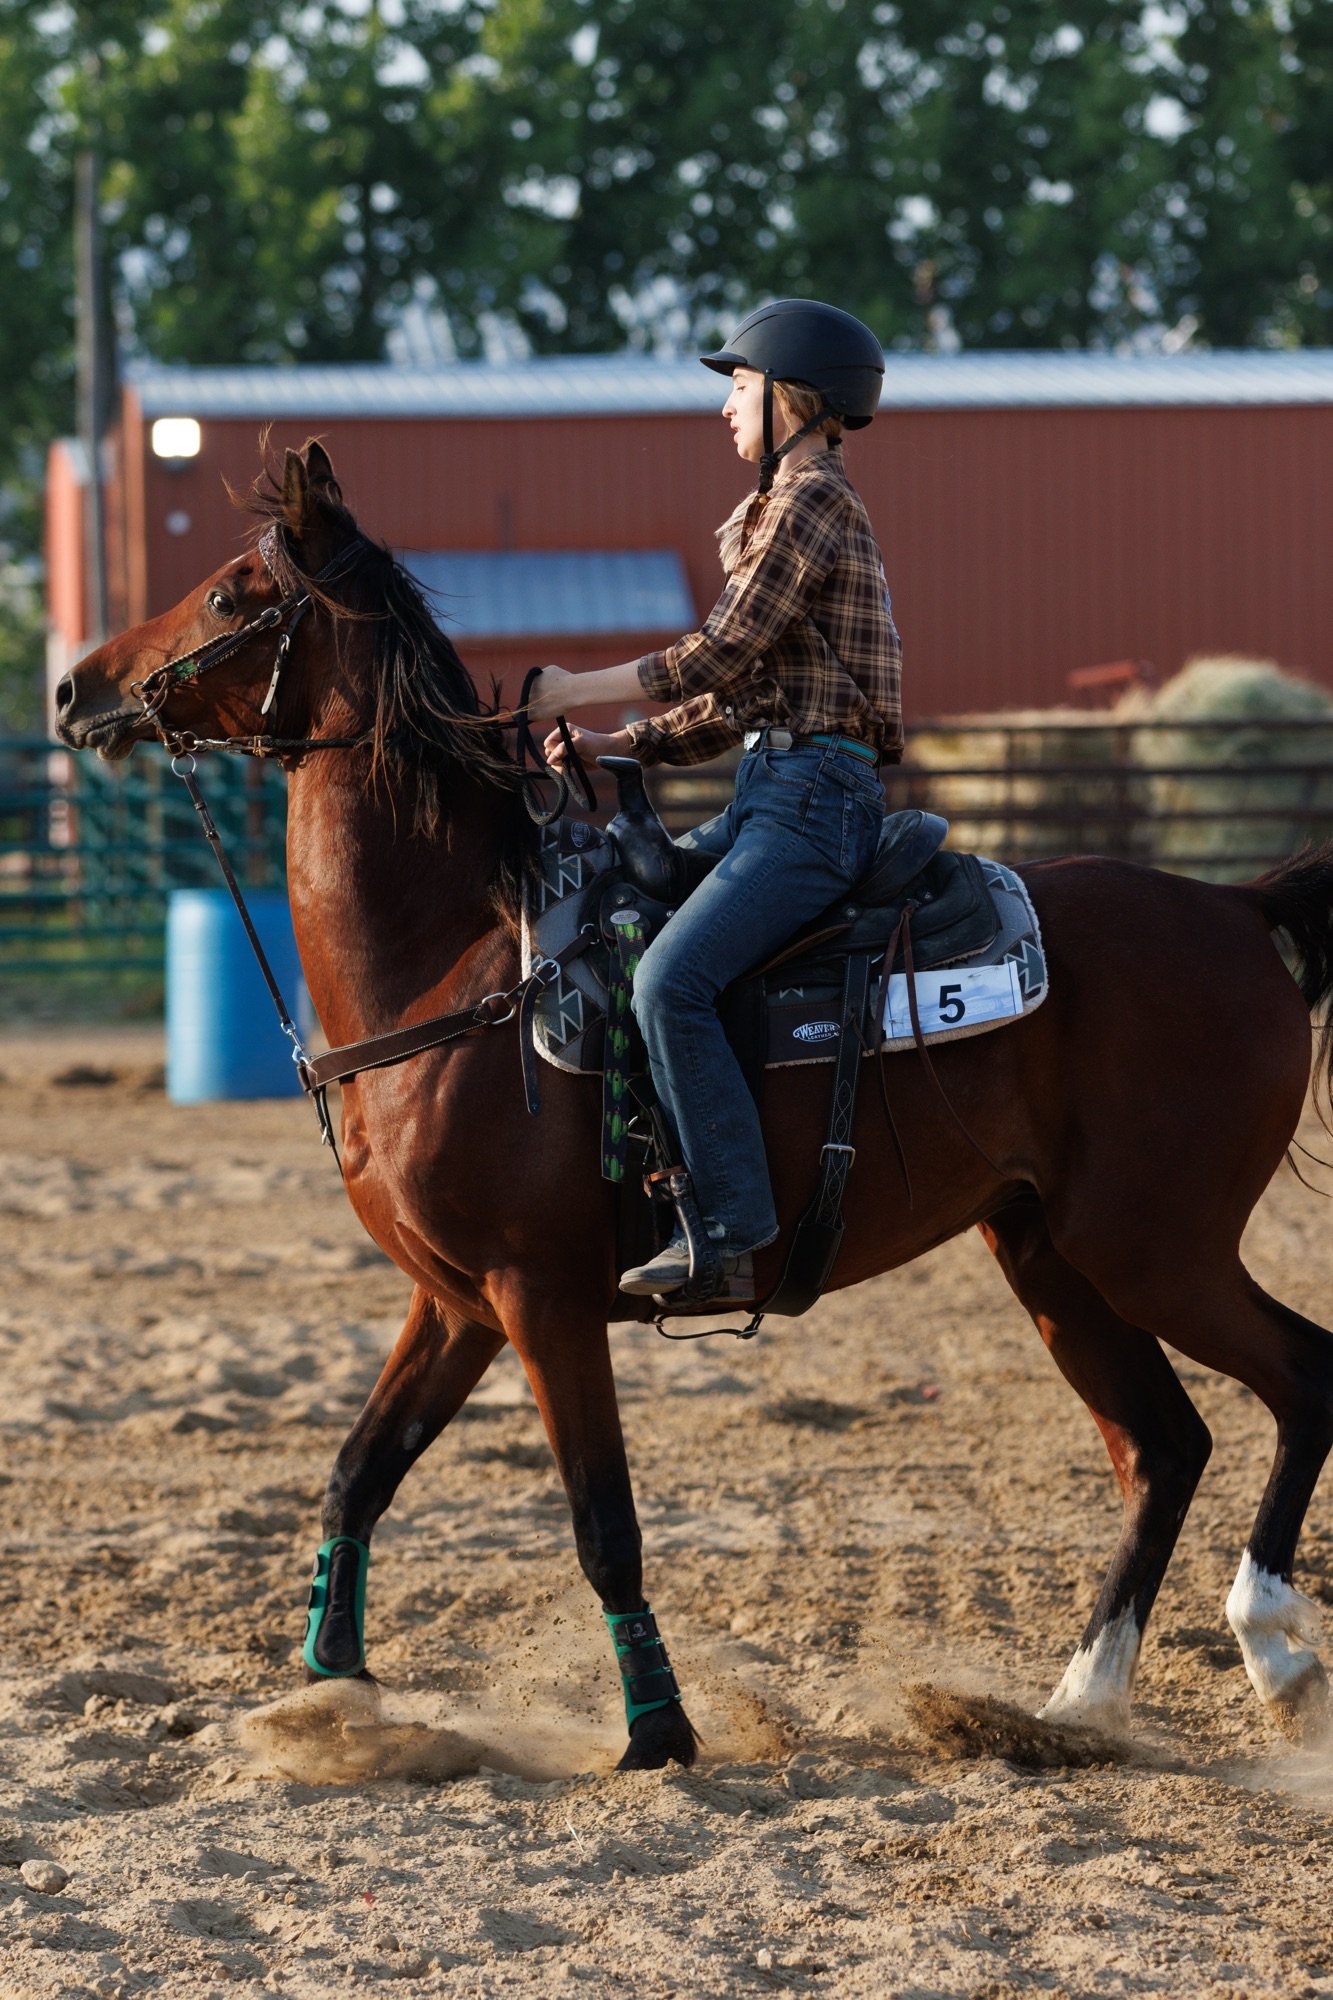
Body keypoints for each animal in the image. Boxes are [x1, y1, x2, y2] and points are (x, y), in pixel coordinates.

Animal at [54, 438, 1333, 1767]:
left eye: (228, 591)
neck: (462, 969)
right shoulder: (452, 1301)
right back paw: (1077, 1702)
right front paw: (330, 1680)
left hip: (1153, 1244)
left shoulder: (543, 1298)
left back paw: (1272, 1645)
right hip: (1048, 1250)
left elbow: (601, 1521)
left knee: (1305, 1377)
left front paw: (657, 1729)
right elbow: (359, 1468)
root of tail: (1235, 907)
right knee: (1164, 1442)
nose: (72, 687)